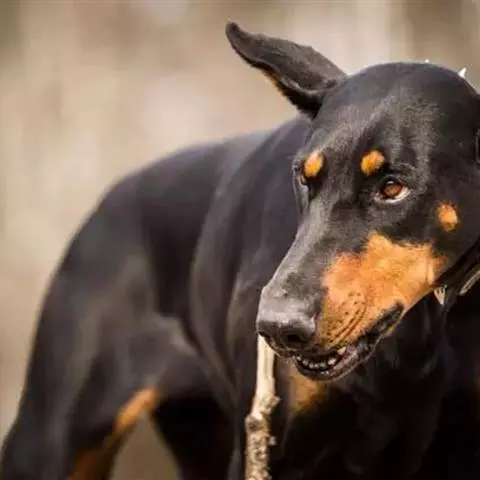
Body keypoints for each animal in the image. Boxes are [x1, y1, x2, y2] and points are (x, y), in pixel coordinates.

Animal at [2, 22, 480, 480]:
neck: (424, 329)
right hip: (54, 437)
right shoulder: (269, 449)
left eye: (393, 187)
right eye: (304, 177)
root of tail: (104, 205)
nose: (278, 328)